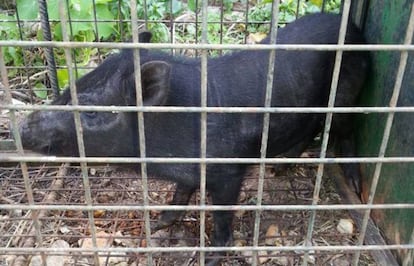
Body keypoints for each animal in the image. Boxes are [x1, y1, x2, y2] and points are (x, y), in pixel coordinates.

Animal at [19, 13, 368, 266]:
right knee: (312, 126)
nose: (22, 129)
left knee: (344, 129)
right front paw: (157, 223)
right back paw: (279, 169)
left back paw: (355, 186)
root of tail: (352, 25)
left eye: (91, 111)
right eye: (70, 89)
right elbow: (180, 195)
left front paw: (210, 257)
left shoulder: (228, 172)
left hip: (347, 91)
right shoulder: (186, 170)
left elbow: (222, 218)